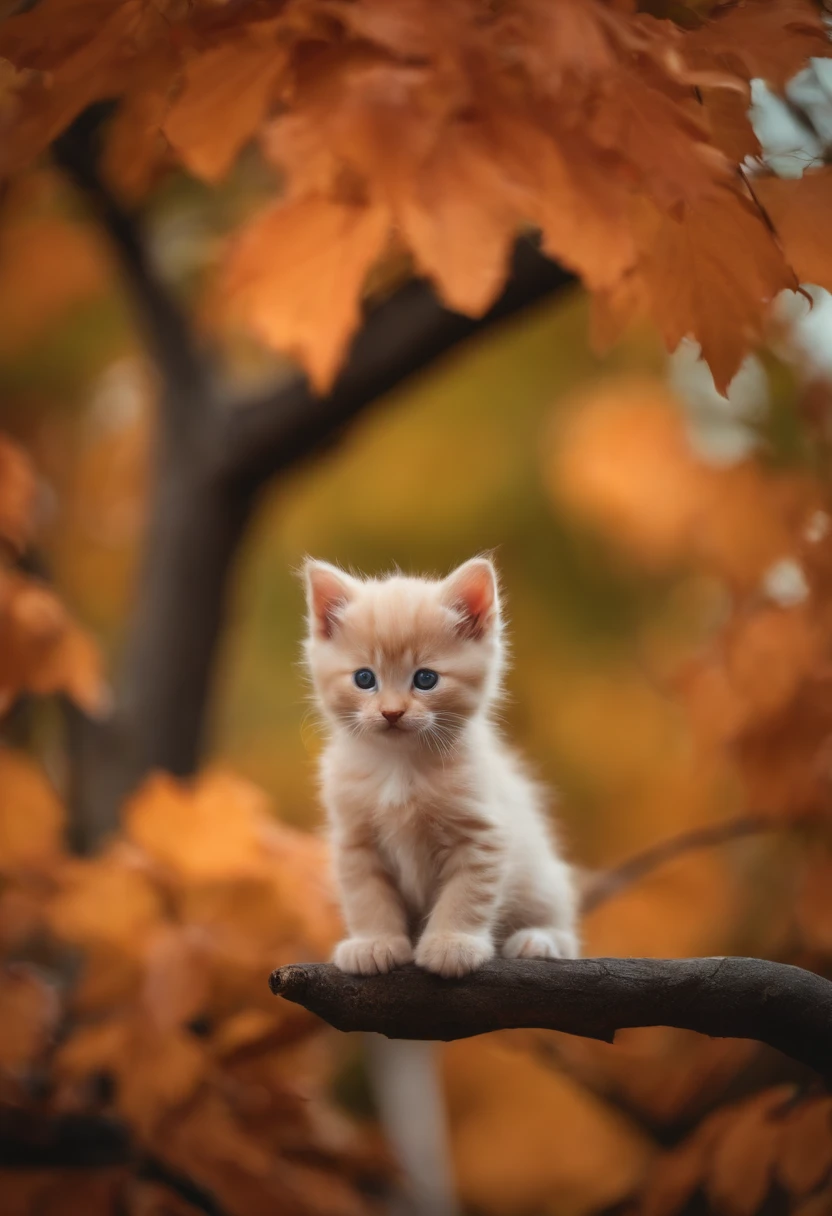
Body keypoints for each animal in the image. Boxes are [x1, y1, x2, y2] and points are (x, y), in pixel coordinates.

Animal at [301, 554, 581, 977]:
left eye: (426, 679)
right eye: (364, 678)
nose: (392, 713)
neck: (400, 767)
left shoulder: (481, 834)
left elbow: (466, 896)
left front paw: (452, 945)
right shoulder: (355, 839)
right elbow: (366, 897)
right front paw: (374, 943)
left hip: (543, 878)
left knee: (564, 928)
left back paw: (540, 940)